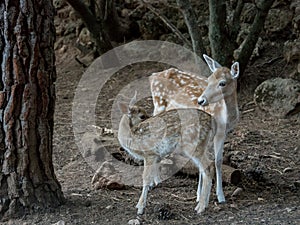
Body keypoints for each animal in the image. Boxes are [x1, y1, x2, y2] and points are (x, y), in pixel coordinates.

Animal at [150, 55, 239, 204]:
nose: (200, 101)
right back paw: (154, 180)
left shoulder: (222, 133)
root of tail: (153, 76)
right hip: (159, 105)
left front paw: (219, 196)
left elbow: (217, 161)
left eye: (222, 83)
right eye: (209, 79)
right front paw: (201, 195)